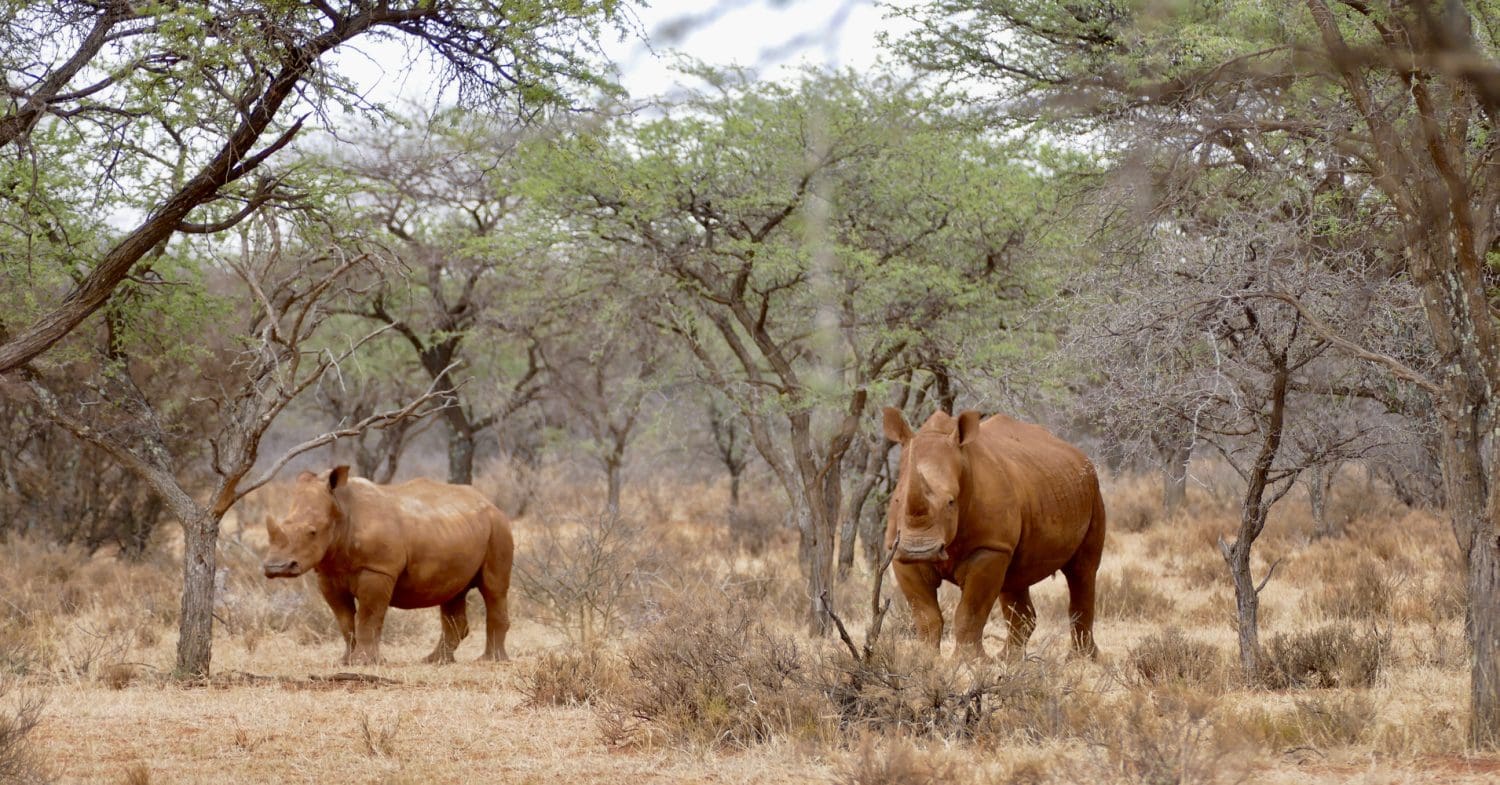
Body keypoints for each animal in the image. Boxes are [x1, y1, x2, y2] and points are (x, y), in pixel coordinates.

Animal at [261, 471, 513, 666]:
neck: (341, 509)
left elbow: (368, 617)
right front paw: (346, 661)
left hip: (499, 528)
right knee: (453, 592)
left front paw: (363, 663)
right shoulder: (328, 574)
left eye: (312, 532)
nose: (276, 567)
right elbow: (344, 620)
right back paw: (435, 660)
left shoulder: (378, 570)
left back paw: (490, 661)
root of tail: (490, 502)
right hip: (458, 530)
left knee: (494, 589)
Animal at [876, 408, 1104, 660]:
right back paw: (1008, 660)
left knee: (1082, 570)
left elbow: (970, 612)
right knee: (1015, 579)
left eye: (951, 502)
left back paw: (1082, 659)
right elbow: (926, 615)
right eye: (897, 500)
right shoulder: (898, 550)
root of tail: (1078, 453)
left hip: (1093, 490)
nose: (919, 550)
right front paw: (924, 660)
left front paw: (969, 662)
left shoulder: (989, 547)